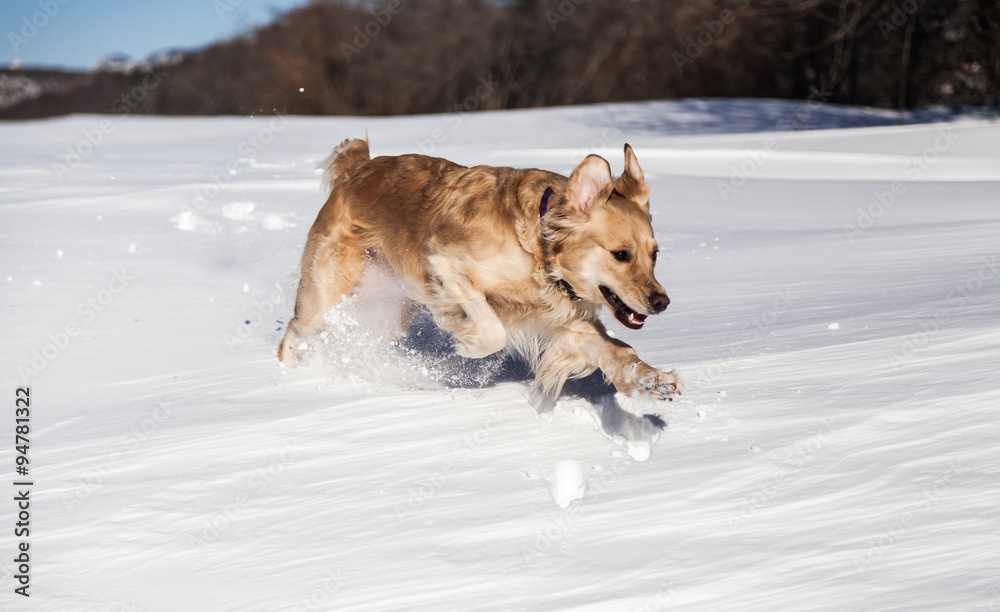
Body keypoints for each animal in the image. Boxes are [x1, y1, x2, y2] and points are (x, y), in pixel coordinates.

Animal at [278, 141, 676, 404]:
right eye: (620, 255)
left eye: (654, 255)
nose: (662, 302)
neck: (537, 247)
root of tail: (356, 170)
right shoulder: (445, 263)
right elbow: (491, 330)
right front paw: (466, 345)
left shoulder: (565, 320)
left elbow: (617, 349)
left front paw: (651, 379)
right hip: (325, 295)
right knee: (295, 332)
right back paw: (286, 378)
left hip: (388, 308)